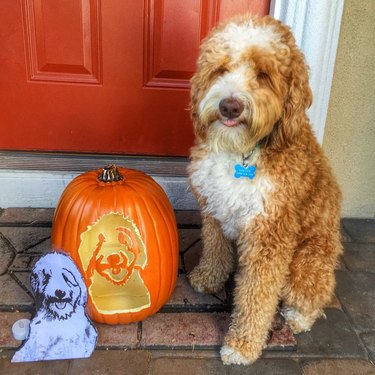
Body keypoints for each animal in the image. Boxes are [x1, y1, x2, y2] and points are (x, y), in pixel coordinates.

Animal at [189, 13, 342, 364]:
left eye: (263, 75)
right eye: (221, 69)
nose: (230, 106)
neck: (241, 151)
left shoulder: (269, 234)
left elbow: (256, 296)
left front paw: (241, 345)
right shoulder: (214, 210)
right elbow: (215, 248)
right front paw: (209, 277)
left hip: (306, 264)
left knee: (316, 296)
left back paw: (298, 317)